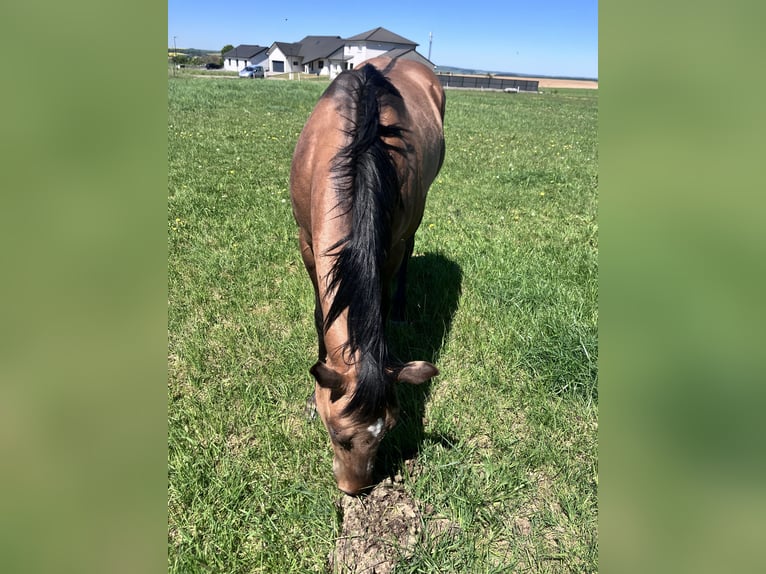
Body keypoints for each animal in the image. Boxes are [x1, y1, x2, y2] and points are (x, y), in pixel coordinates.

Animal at [289, 57, 446, 495]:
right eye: (336, 434)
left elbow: (383, 295)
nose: (354, 489)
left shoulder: (388, 246)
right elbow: (319, 313)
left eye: (389, 429)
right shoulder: (307, 242)